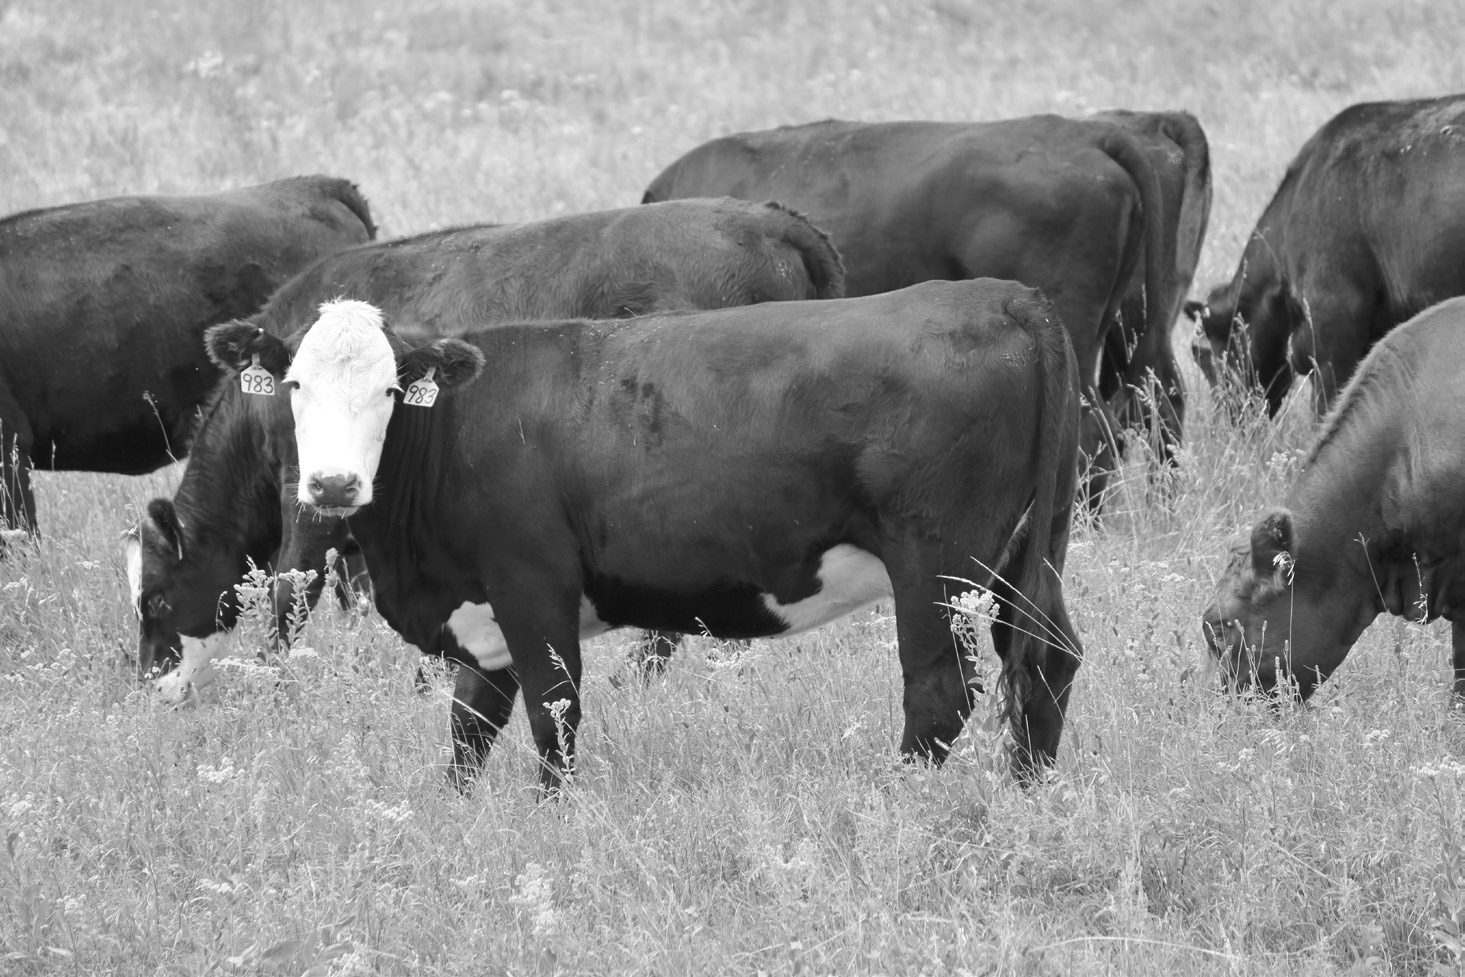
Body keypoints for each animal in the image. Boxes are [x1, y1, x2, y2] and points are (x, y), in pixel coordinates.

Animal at [125, 198, 845, 698]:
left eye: (154, 599)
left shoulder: (310, 483)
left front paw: (275, 684)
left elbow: (289, 588)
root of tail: (776, 220)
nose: (152, 688)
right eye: (297, 381)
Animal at [216, 280, 1085, 792]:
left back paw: (904, 804)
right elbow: (469, 725)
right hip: (1026, 550)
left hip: (936, 562)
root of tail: (1004, 296)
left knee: (940, 688)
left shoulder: (531, 582)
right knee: (1048, 658)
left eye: (392, 390)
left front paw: (553, 817)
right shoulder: (485, 609)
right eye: (294, 383)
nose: (332, 485)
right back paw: (1028, 794)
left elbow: (552, 708)